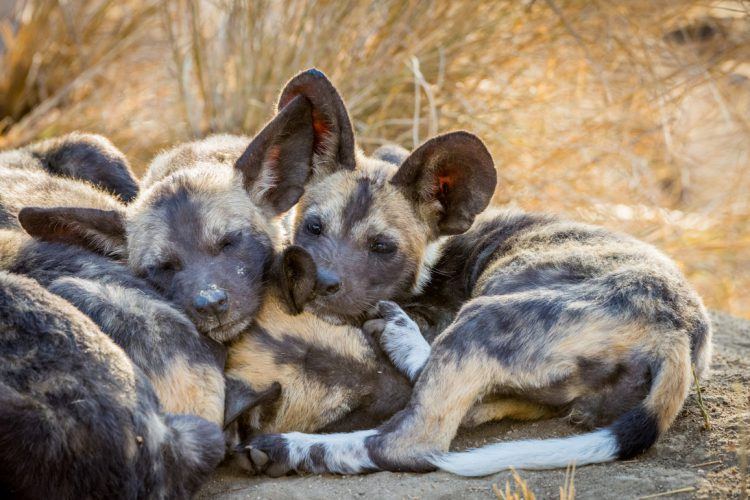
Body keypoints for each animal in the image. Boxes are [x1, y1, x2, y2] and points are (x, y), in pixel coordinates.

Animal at [238, 70, 712, 476]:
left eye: (382, 247)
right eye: (314, 227)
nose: (322, 282)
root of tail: (676, 332)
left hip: (483, 318)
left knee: (412, 440)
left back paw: (296, 443)